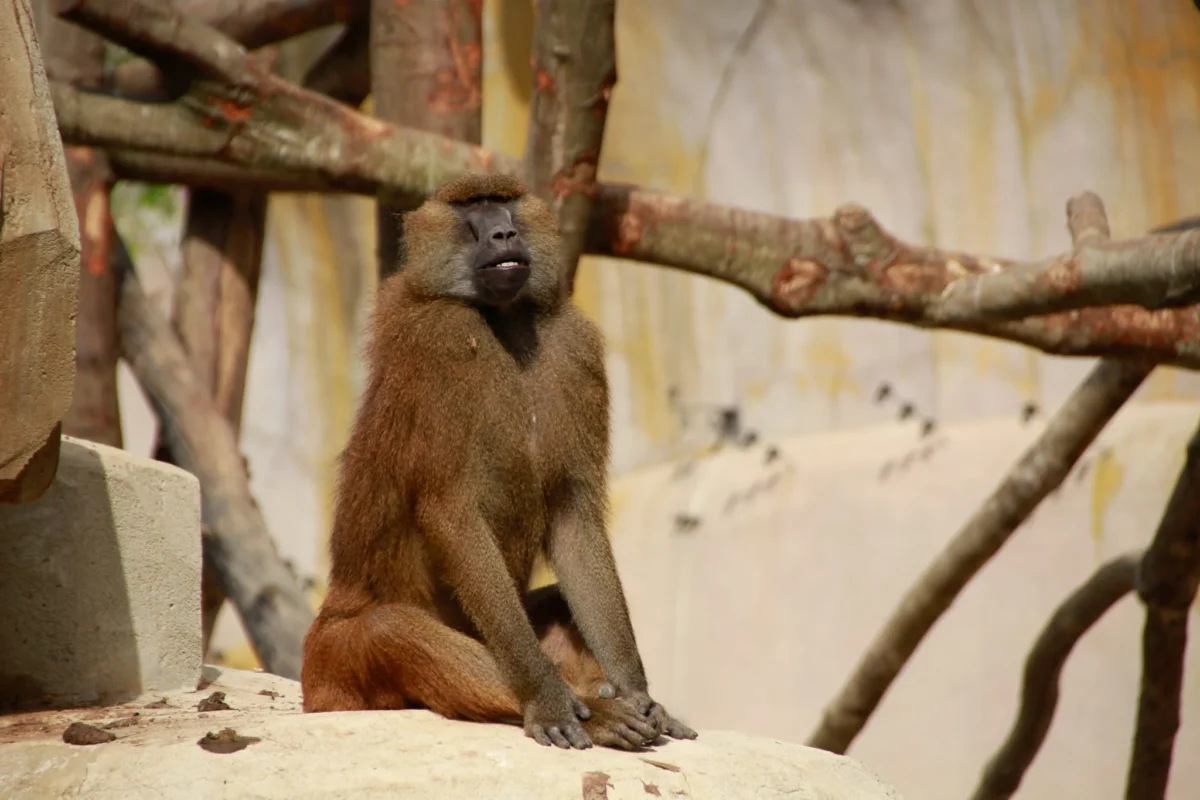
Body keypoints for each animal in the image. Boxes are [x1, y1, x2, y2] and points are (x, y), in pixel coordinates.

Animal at [300, 173, 696, 751]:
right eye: (474, 209)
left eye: (504, 204)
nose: (504, 233)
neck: (504, 322)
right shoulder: (441, 338)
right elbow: (452, 513)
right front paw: (553, 702)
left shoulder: (575, 346)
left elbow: (574, 522)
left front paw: (637, 692)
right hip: (336, 662)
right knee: (391, 631)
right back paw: (595, 715)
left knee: (556, 603)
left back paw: (605, 695)